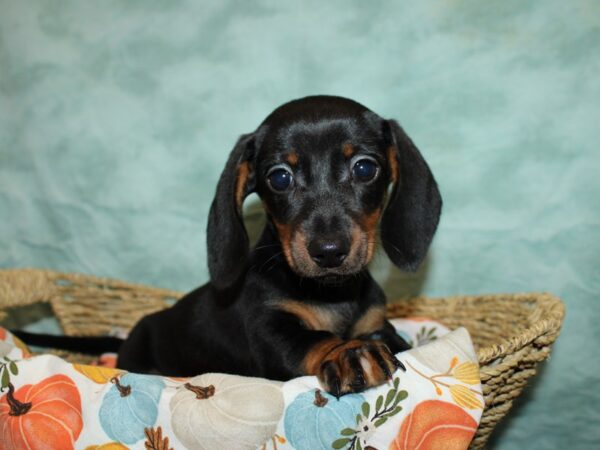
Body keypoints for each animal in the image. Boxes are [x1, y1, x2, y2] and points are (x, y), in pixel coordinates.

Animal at [115, 96, 440, 398]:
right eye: (280, 177)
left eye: (364, 168)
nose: (329, 251)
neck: (332, 295)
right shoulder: (270, 330)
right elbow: (313, 339)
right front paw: (348, 352)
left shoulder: (375, 323)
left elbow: (397, 342)